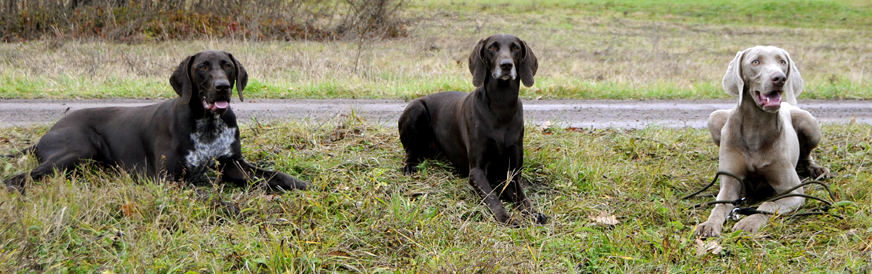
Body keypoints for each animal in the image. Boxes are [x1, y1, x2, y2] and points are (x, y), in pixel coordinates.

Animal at [5, 50, 312, 193]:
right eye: (202, 67)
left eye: (227, 65)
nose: (223, 87)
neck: (208, 123)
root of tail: (47, 132)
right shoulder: (167, 178)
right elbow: (203, 191)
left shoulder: (232, 165)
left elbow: (275, 175)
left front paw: (304, 185)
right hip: (78, 149)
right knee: (16, 178)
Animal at [400, 34, 548, 226]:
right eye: (492, 47)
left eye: (515, 47)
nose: (506, 65)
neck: (502, 106)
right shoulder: (477, 171)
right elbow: (492, 198)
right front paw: (505, 217)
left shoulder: (511, 175)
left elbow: (523, 198)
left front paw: (534, 213)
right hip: (416, 109)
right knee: (410, 150)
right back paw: (410, 166)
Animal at [696, 45, 832, 238]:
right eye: (755, 62)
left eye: (782, 61)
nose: (779, 78)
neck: (756, 127)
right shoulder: (730, 183)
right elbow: (719, 205)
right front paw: (709, 224)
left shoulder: (794, 192)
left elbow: (769, 204)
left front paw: (749, 222)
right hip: (715, 117)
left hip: (809, 123)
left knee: (807, 154)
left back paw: (817, 169)